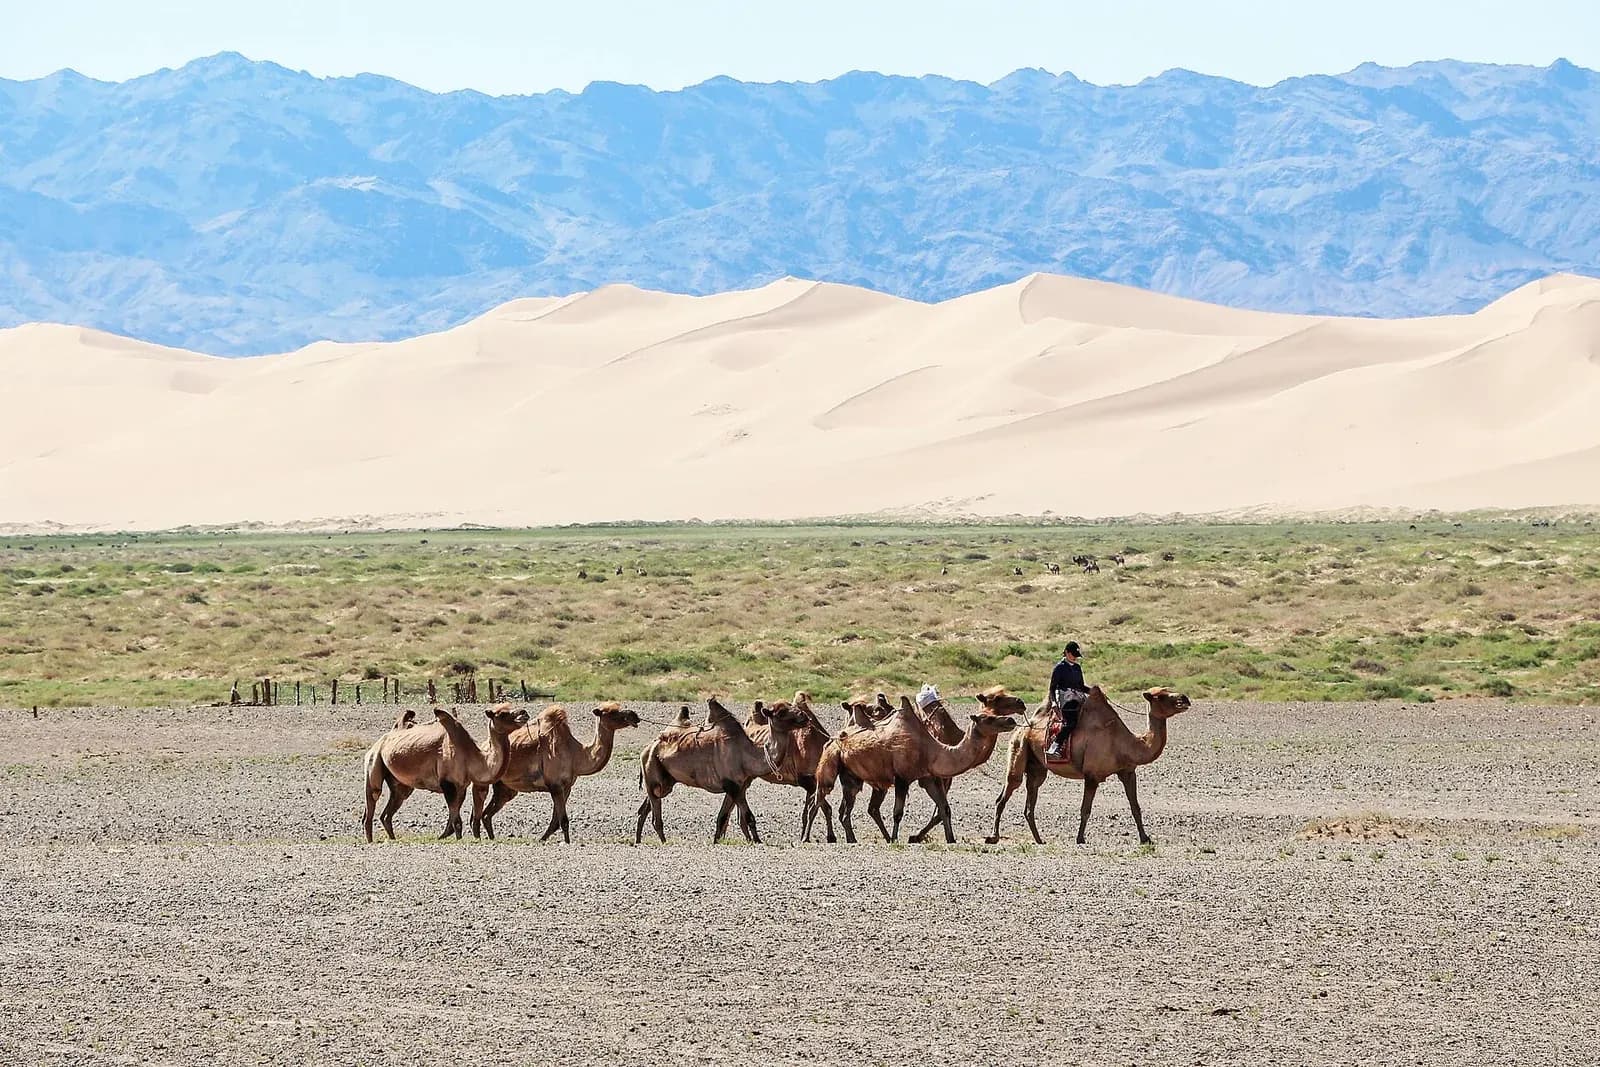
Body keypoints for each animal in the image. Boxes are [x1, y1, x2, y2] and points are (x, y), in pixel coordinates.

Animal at [362, 703, 529, 842]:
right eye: (502, 714)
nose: (524, 713)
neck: (471, 756)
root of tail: (380, 741)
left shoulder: (461, 786)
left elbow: (453, 820)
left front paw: (443, 837)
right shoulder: (448, 784)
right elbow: (456, 821)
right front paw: (456, 840)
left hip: (400, 783)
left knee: (390, 809)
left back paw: (392, 839)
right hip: (374, 760)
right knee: (373, 797)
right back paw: (370, 841)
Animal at [471, 702, 641, 842]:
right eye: (611, 712)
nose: (634, 715)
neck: (576, 755)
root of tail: (483, 747)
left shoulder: (566, 787)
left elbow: (555, 821)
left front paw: (542, 839)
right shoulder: (555, 786)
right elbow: (563, 821)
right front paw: (564, 842)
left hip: (505, 787)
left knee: (487, 814)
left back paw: (491, 838)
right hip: (484, 781)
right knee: (478, 813)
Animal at [635, 697, 808, 844]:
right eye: (781, 712)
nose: (805, 716)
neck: (746, 755)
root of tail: (648, 748)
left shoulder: (738, 786)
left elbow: (722, 817)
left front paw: (717, 841)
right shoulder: (732, 785)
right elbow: (748, 816)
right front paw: (758, 841)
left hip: (666, 781)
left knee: (646, 808)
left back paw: (638, 840)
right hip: (652, 771)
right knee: (655, 813)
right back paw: (663, 842)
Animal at [805, 688, 1023, 844]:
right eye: (988, 717)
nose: (1011, 719)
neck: (932, 749)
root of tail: (833, 738)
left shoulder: (928, 777)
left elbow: (944, 808)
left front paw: (951, 839)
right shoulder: (903, 778)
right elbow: (898, 813)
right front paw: (896, 839)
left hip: (852, 776)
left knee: (847, 808)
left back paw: (852, 839)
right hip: (830, 762)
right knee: (818, 798)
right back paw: (807, 837)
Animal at [987, 686, 1190, 846]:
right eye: (1161, 696)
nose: (1185, 699)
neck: (1124, 743)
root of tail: (1024, 726)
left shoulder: (1127, 772)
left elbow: (1135, 807)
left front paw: (1145, 838)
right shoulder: (1092, 775)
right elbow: (1085, 809)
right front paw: (1080, 838)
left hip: (1037, 767)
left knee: (1031, 797)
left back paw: (1039, 840)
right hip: (1018, 747)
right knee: (1006, 792)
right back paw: (993, 837)